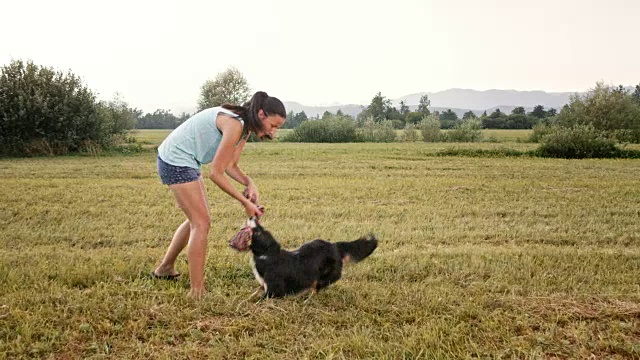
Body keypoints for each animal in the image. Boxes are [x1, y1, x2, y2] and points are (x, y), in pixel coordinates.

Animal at [245, 219, 376, 298]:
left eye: (258, 232)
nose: (252, 217)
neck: (268, 255)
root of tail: (335, 246)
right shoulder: (264, 285)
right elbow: (254, 294)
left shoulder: (274, 290)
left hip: (325, 276)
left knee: (316, 288)